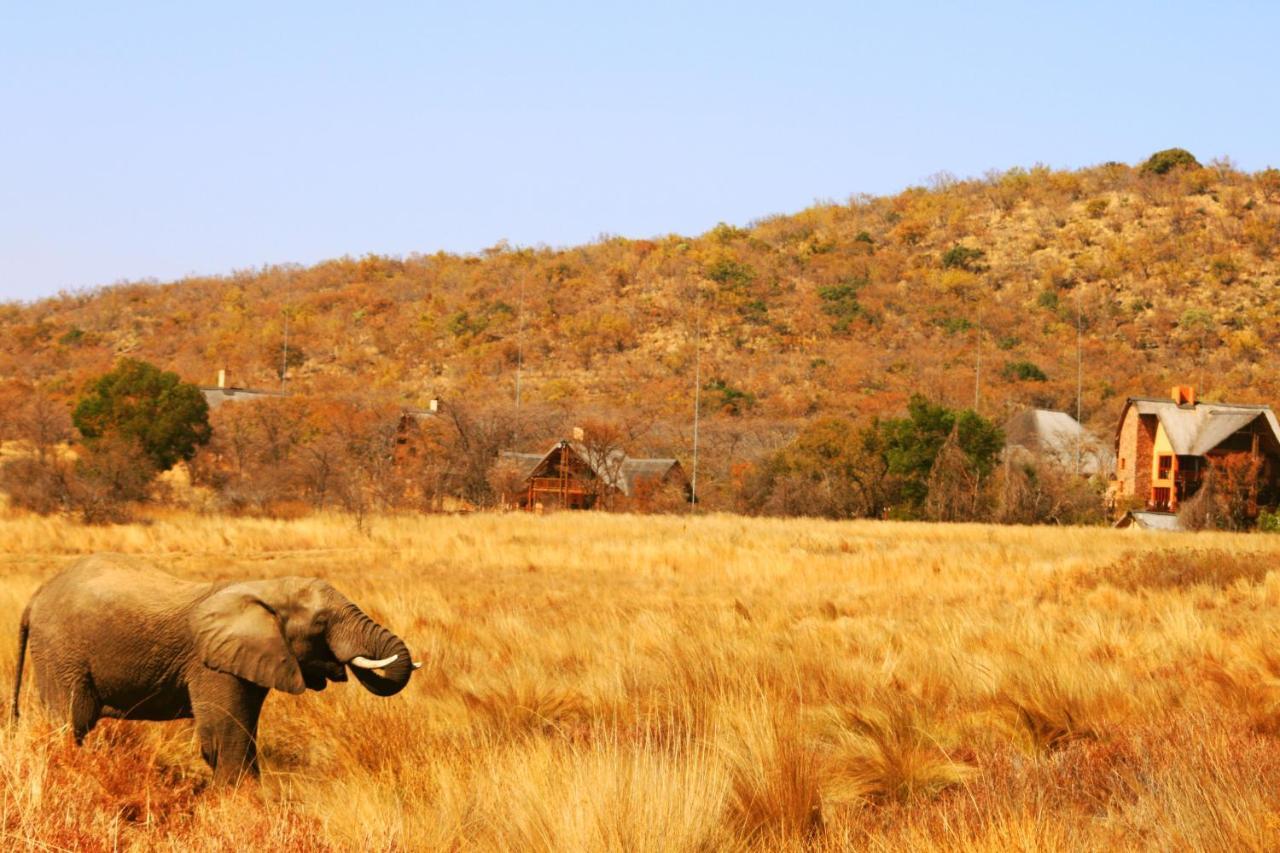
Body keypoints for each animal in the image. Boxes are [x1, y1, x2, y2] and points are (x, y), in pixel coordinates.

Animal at [11, 550, 419, 783]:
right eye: (321, 623)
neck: (264, 588)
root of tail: (34, 598)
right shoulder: (211, 664)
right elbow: (224, 737)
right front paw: (241, 803)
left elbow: (244, 732)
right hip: (61, 652)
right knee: (70, 720)